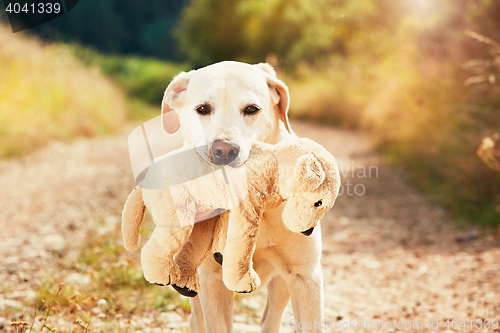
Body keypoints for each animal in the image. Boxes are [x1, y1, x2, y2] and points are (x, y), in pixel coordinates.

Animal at [158, 61, 326, 330]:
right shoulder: (212, 280)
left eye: (251, 109)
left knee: (271, 318)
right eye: (202, 109)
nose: (224, 150)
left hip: (282, 283)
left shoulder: (306, 277)